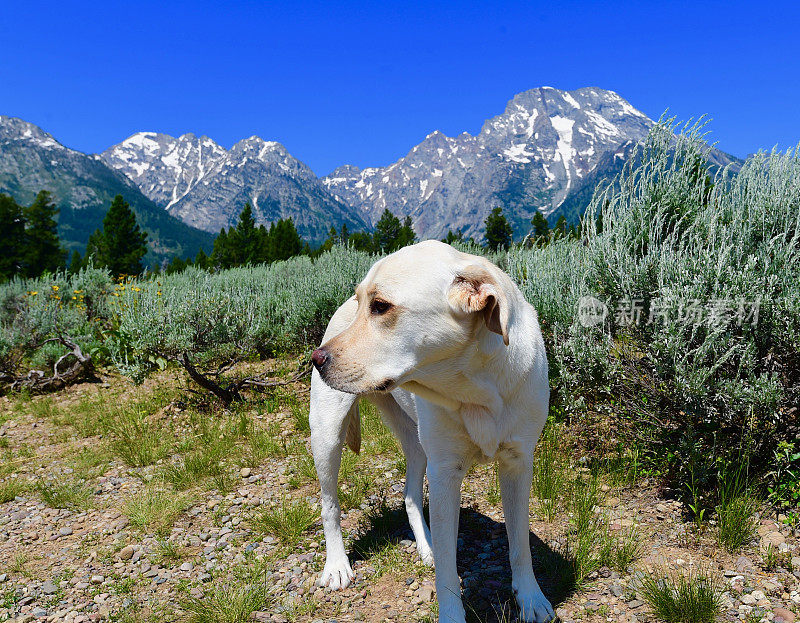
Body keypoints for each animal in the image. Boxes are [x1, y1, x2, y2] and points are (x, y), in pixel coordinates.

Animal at [310, 240, 552, 623]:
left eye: (380, 306)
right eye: (363, 302)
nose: (317, 359)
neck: (478, 390)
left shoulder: (518, 463)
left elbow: (519, 543)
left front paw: (530, 598)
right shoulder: (445, 474)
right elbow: (447, 569)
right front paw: (452, 613)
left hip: (417, 444)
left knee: (410, 495)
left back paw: (426, 546)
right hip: (327, 434)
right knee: (329, 504)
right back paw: (336, 565)